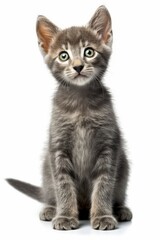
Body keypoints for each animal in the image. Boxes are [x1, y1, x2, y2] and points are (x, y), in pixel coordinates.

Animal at [6, 5, 132, 230]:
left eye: (89, 52)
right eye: (63, 56)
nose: (78, 66)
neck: (80, 105)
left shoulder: (109, 146)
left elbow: (104, 184)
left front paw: (103, 215)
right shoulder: (57, 147)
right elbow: (63, 184)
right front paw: (64, 216)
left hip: (124, 165)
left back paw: (119, 209)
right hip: (46, 168)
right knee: (50, 191)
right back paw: (50, 208)